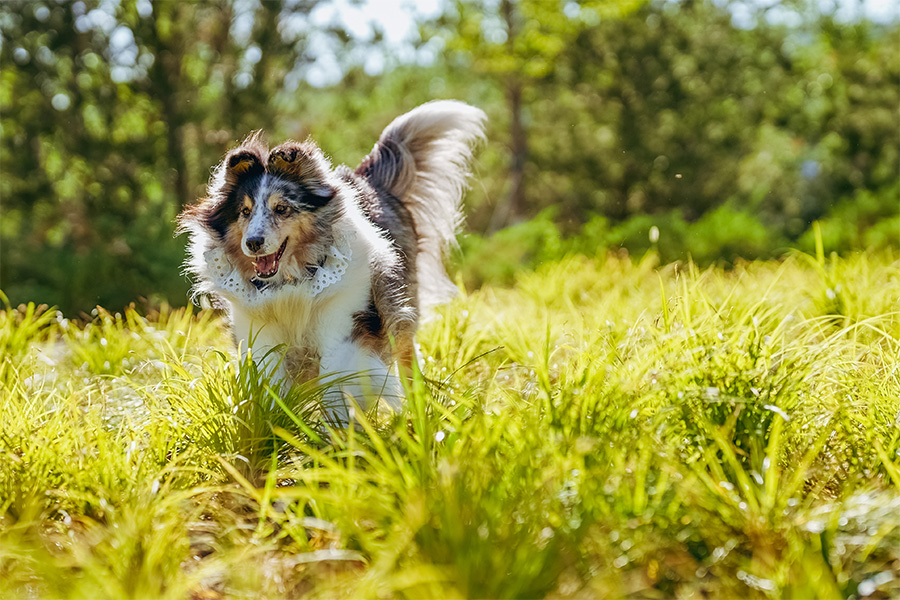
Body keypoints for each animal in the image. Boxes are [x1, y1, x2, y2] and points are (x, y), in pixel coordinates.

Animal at [178, 101, 486, 422]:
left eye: (282, 208)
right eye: (245, 211)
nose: (253, 243)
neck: (290, 283)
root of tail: (369, 182)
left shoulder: (342, 320)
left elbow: (338, 379)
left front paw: (339, 429)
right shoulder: (259, 333)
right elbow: (270, 384)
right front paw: (275, 426)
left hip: (400, 308)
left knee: (406, 358)